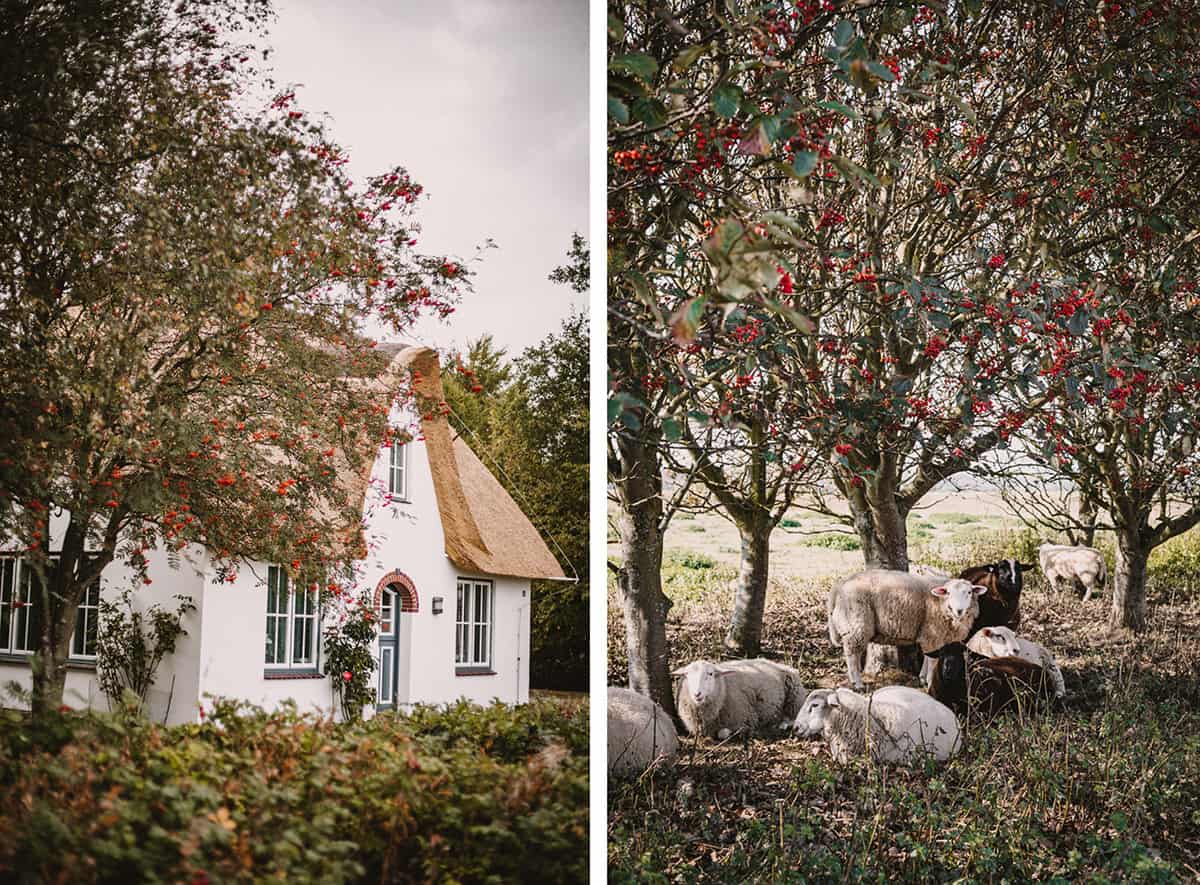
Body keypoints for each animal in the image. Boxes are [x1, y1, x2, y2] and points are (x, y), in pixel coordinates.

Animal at [676, 657, 806, 738]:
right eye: (686, 675)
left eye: (710, 674)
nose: (697, 694)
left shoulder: (746, 719)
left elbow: (723, 733)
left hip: (795, 697)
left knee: (795, 716)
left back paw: (782, 724)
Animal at [830, 568, 988, 690]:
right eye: (948, 593)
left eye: (969, 592)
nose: (959, 610)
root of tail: (839, 586)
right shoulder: (933, 633)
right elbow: (932, 660)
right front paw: (930, 681)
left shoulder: (930, 634)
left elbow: (928, 656)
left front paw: (923, 678)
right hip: (856, 624)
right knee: (852, 654)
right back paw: (857, 683)